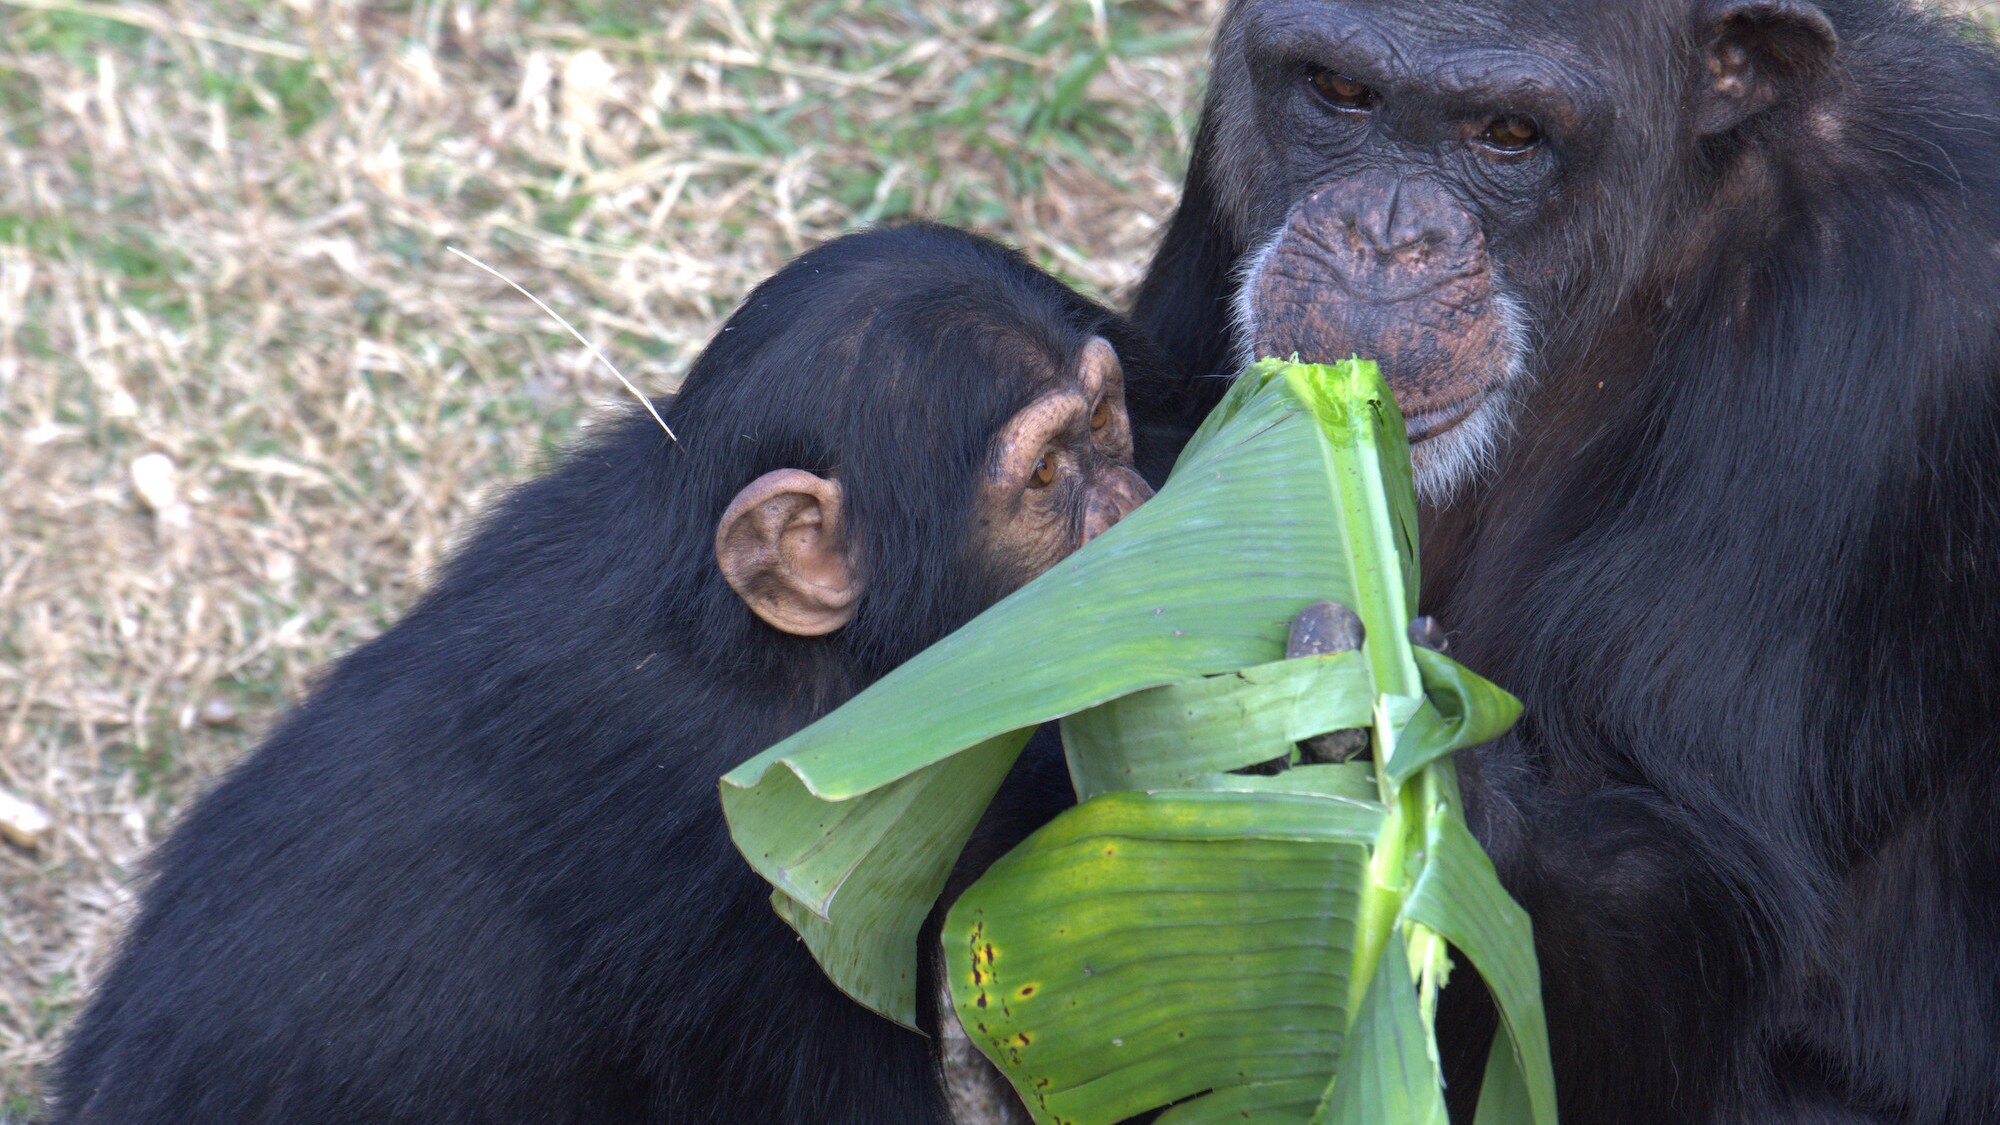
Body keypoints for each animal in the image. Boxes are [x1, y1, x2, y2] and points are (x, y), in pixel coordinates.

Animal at [1128, 2, 2000, 1120]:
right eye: (1338, 91)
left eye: (1508, 134)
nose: (1385, 235)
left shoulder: (1894, 321)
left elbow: (1696, 908)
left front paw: (1376, 733)